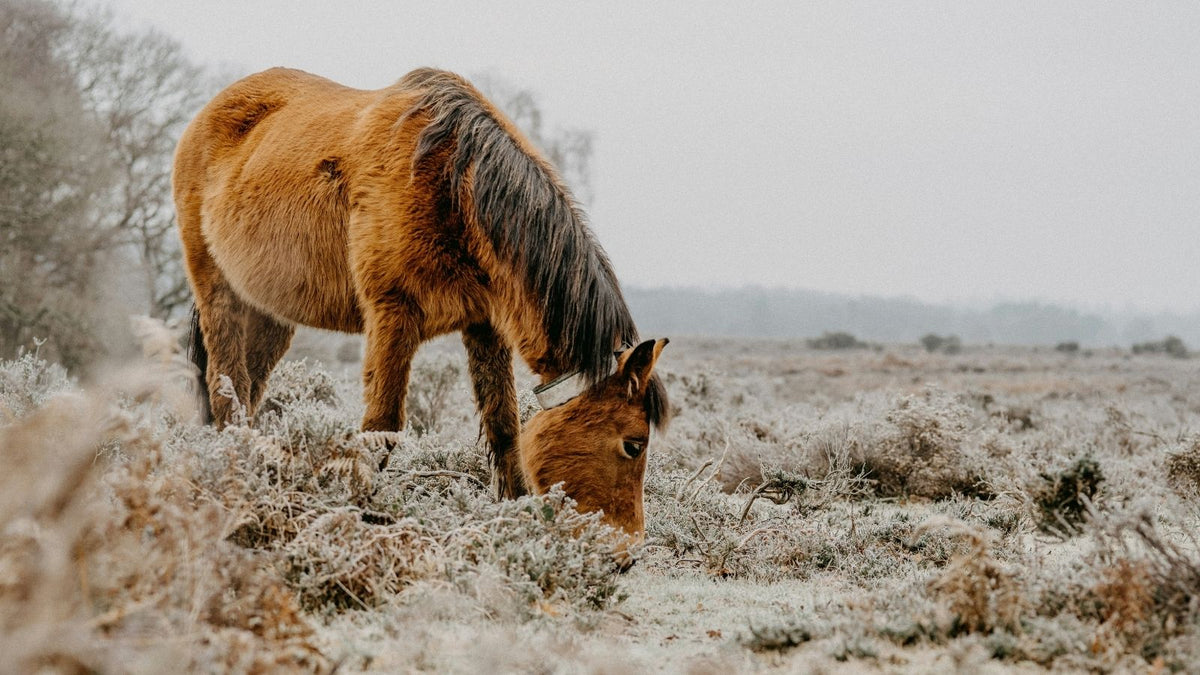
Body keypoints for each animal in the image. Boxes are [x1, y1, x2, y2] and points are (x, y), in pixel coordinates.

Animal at [172, 67, 669, 541]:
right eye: (634, 444)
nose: (627, 553)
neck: (453, 184)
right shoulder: (393, 315)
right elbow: (382, 427)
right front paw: (356, 516)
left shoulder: (484, 325)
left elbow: (504, 426)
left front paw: (515, 515)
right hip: (217, 291)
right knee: (227, 387)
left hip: (270, 311)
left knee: (249, 387)